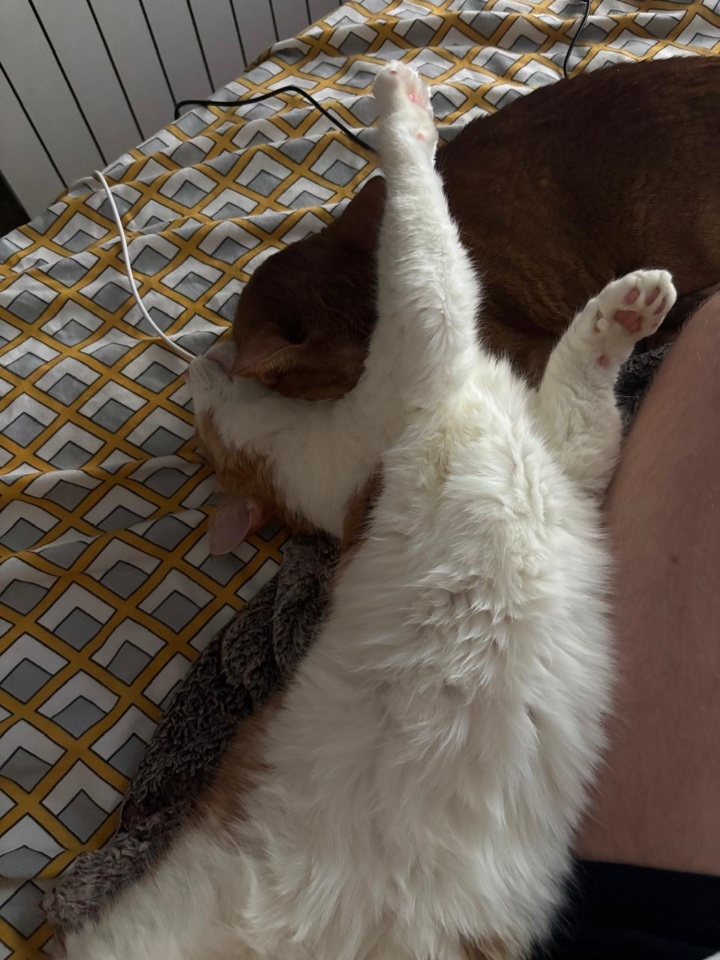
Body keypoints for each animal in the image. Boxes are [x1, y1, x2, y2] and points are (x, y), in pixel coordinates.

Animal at [60, 62, 675, 959]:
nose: (197, 367)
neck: (314, 469)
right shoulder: (425, 335)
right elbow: (422, 237)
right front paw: (401, 110)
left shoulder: (564, 457)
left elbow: (582, 379)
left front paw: (622, 311)